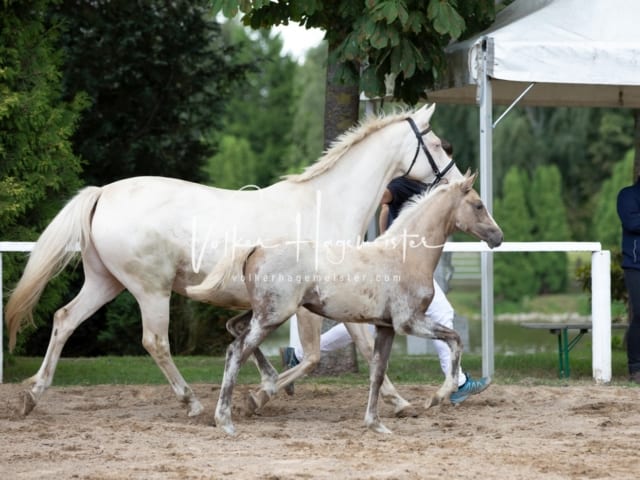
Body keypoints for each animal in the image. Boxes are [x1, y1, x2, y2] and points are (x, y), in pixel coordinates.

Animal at [7, 103, 462, 418]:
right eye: (436, 144)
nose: (458, 183)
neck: (324, 204)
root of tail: (103, 192)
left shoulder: (347, 299)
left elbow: (366, 349)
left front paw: (400, 402)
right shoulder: (309, 305)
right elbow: (313, 357)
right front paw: (257, 396)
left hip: (105, 281)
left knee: (65, 319)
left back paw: (32, 394)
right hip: (150, 289)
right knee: (155, 341)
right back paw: (191, 403)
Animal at [190, 173, 504, 436]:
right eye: (478, 205)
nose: (498, 237)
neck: (404, 255)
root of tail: (257, 247)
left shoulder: (386, 327)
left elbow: (377, 372)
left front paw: (376, 424)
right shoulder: (409, 321)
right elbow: (455, 340)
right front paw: (437, 398)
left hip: (263, 312)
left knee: (235, 330)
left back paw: (262, 389)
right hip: (273, 315)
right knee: (236, 351)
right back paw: (226, 420)